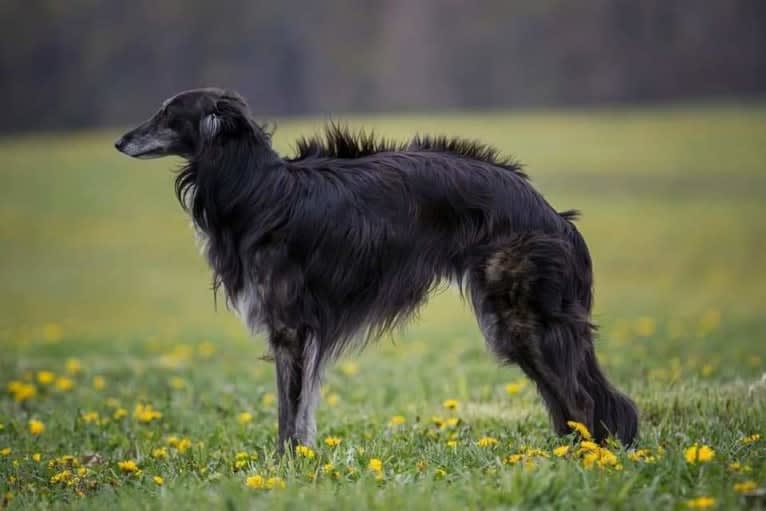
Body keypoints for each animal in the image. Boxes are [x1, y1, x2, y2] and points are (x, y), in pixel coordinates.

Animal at [115, 90, 640, 450]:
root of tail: (554, 216)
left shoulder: (290, 328)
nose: (119, 140)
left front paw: (283, 468)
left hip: (522, 318)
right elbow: (300, 411)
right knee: (571, 401)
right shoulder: (303, 333)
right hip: (519, 324)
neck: (258, 188)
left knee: (583, 400)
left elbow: (289, 413)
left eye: (168, 113)